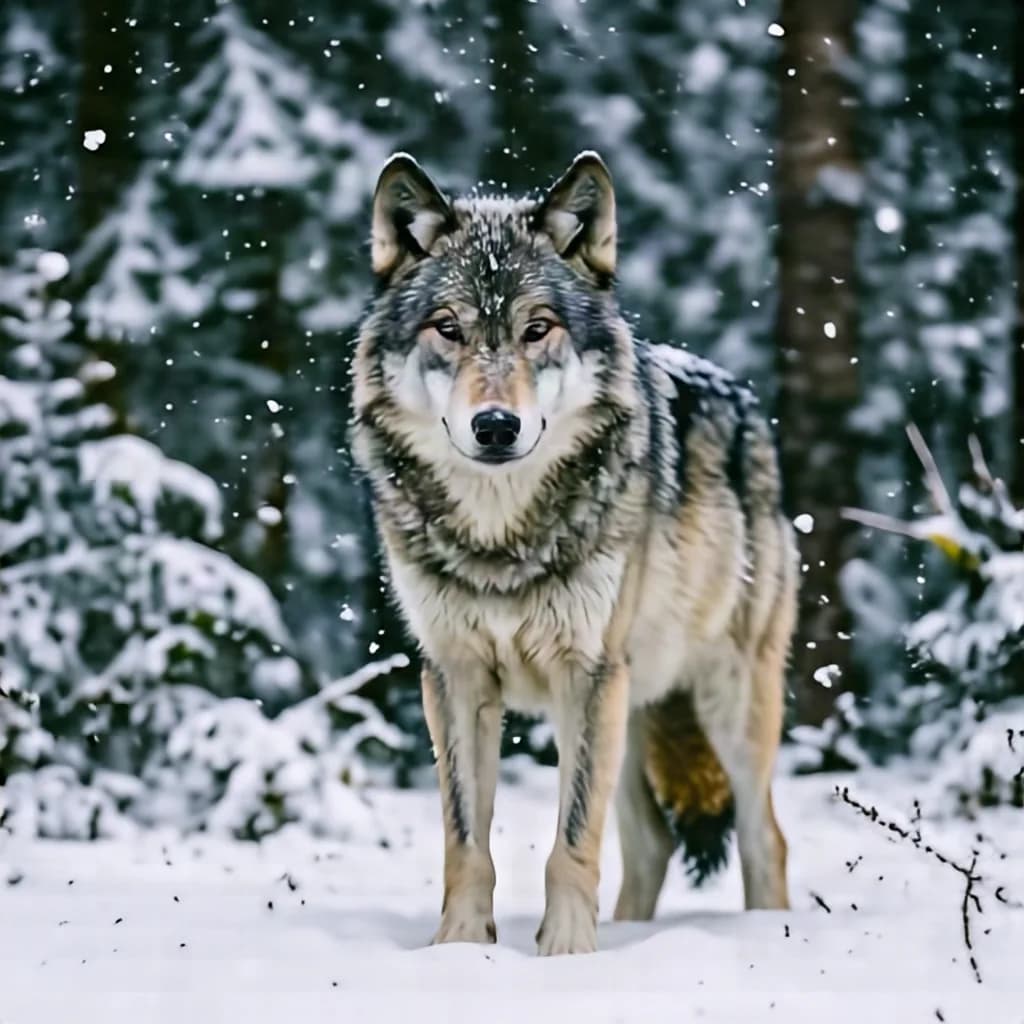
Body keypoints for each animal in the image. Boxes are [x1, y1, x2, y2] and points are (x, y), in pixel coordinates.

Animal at [351, 151, 797, 956]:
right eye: (448, 329)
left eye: (538, 329)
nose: (496, 426)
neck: (500, 539)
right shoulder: (455, 676)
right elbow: (465, 842)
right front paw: (459, 952)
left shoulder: (585, 673)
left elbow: (571, 842)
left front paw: (565, 957)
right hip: (634, 706)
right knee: (651, 843)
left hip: (725, 701)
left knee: (764, 840)